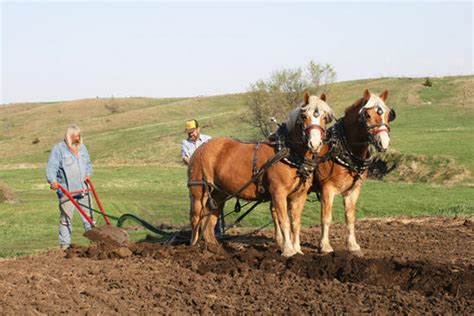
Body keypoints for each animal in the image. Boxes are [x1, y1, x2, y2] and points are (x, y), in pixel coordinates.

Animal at [187, 92, 336, 256]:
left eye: (324, 117)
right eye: (304, 116)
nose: (314, 143)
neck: (289, 152)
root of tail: (200, 148)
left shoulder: (299, 195)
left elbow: (295, 223)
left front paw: (297, 251)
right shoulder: (278, 193)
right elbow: (284, 221)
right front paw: (288, 250)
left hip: (219, 193)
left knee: (211, 217)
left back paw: (214, 248)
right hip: (198, 191)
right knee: (196, 218)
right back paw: (193, 247)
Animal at [312, 87, 396, 256]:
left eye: (387, 114)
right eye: (367, 115)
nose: (384, 142)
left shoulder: (353, 190)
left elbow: (350, 217)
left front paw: (353, 245)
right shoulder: (327, 190)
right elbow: (326, 217)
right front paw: (325, 246)